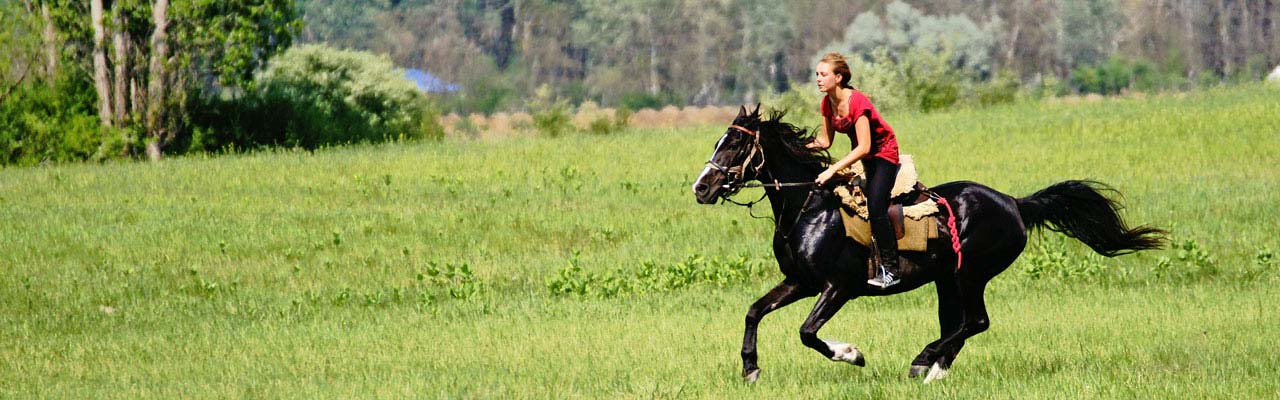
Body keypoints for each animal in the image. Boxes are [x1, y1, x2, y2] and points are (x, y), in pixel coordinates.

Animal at [691, 105, 1167, 383]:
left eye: (736, 142)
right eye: (718, 140)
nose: (701, 188)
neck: (808, 206)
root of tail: (1015, 203)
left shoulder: (837, 287)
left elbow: (808, 333)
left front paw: (853, 354)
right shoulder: (800, 283)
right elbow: (754, 312)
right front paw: (750, 368)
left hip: (971, 273)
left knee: (976, 321)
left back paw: (925, 360)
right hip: (947, 280)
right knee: (961, 324)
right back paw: (933, 366)